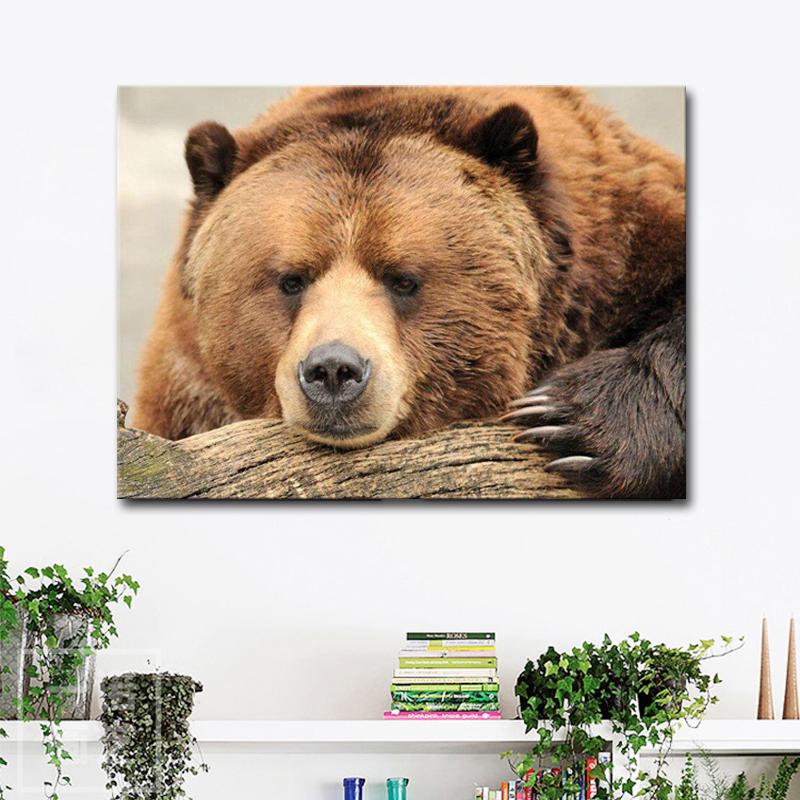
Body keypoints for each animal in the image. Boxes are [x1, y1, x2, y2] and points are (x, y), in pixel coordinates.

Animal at [133, 86, 685, 499]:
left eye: (402, 278)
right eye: (291, 279)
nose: (333, 370)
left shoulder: (626, 246)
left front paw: (568, 421)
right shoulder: (184, 391)